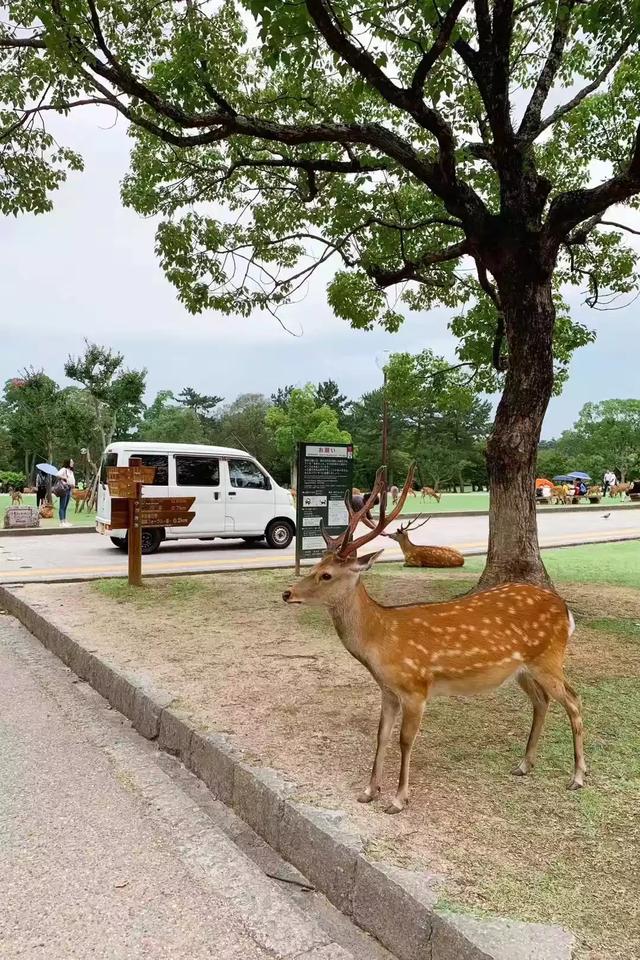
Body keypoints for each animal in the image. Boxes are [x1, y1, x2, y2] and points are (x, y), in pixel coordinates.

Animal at [282, 468, 588, 812]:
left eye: (327, 575)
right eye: (315, 565)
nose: (287, 593)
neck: (381, 640)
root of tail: (565, 610)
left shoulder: (416, 687)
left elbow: (405, 740)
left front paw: (398, 799)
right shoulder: (388, 690)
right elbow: (381, 735)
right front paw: (369, 791)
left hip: (549, 658)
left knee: (574, 700)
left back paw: (577, 777)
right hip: (522, 669)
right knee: (542, 701)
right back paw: (524, 765)